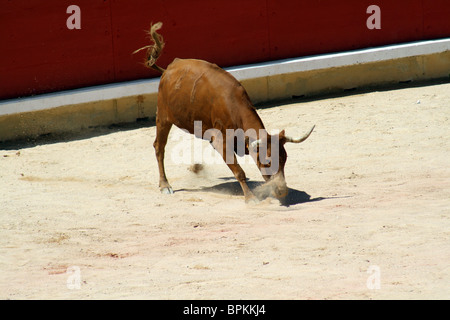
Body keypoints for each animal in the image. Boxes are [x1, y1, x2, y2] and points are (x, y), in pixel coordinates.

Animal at [135, 22, 314, 201]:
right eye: (268, 161)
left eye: (284, 160)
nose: (283, 191)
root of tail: (169, 68)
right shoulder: (221, 141)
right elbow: (239, 171)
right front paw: (250, 198)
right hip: (163, 116)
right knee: (159, 147)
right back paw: (165, 185)